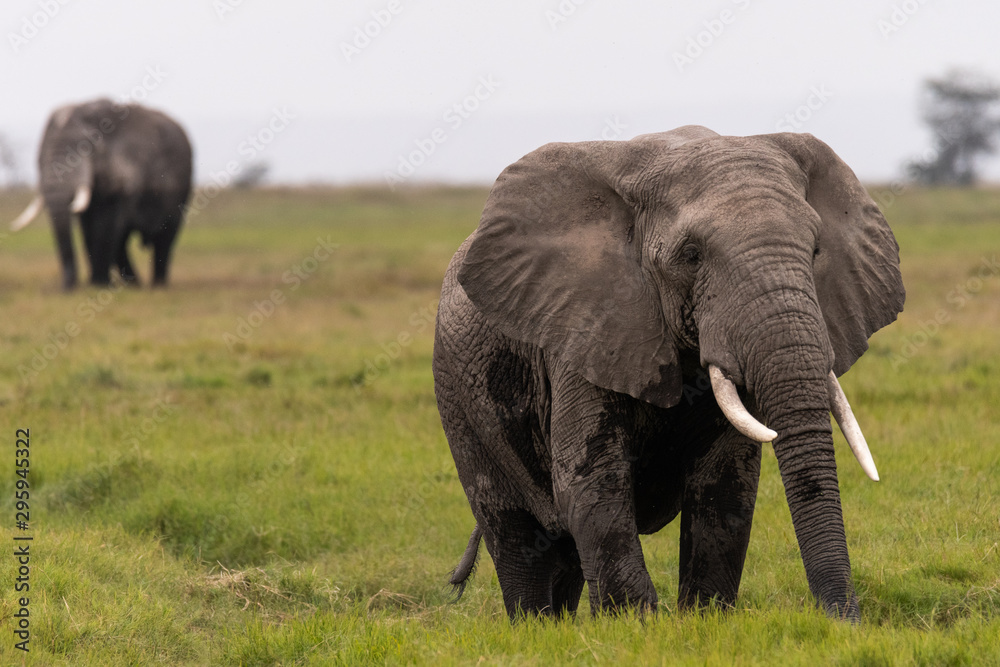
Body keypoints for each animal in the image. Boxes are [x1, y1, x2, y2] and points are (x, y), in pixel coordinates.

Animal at [11, 98, 192, 290]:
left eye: (85, 149)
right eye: (39, 158)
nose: (66, 289)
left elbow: (106, 225)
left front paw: (99, 285)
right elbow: (89, 229)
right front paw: (96, 284)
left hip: (182, 187)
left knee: (166, 236)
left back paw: (157, 286)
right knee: (124, 241)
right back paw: (134, 285)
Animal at [433, 126, 905, 622]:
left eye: (815, 251)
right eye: (691, 255)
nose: (845, 621)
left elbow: (725, 485)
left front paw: (703, 619)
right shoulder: (585, 328)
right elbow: (592, 482)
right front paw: (634, 624)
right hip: (456, 394)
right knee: (513, 533)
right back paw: (535, 625)